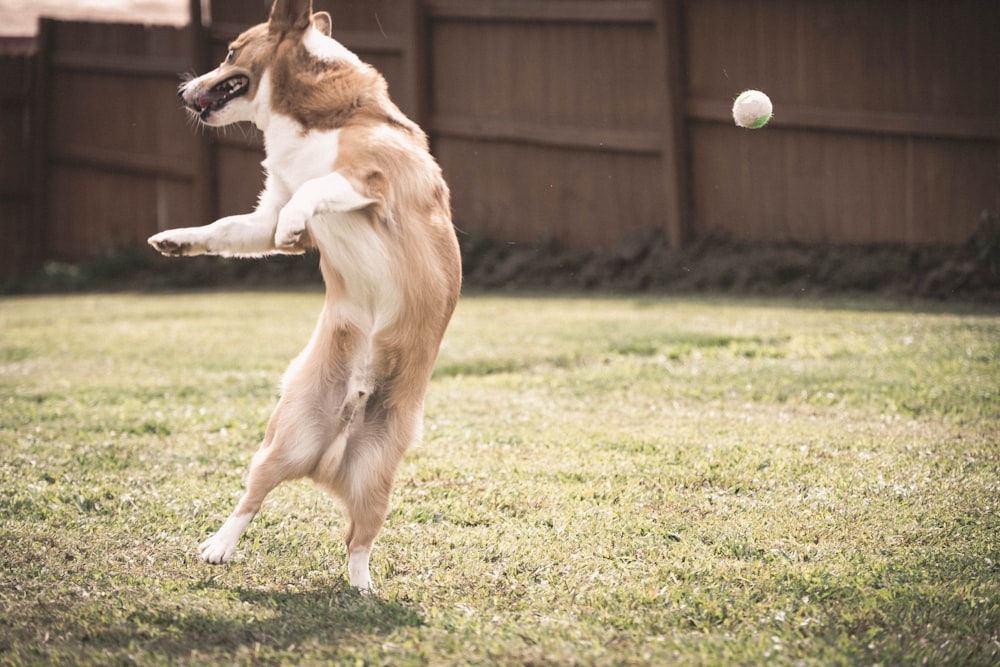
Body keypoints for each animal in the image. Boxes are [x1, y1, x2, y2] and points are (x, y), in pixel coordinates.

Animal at [147, 0, 460, 592]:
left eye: (229, 53)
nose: (180, 92)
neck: (313, 117)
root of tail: (328, 457)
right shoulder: (264, 215)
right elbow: (225, 228)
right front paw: (176, 240)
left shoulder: (368, 180)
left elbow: (315, 189)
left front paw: (298, 221)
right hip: (281, 443)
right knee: (251, 501)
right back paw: (219, 547)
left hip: (375, 478)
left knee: (358, 541)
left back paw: (361, 588)